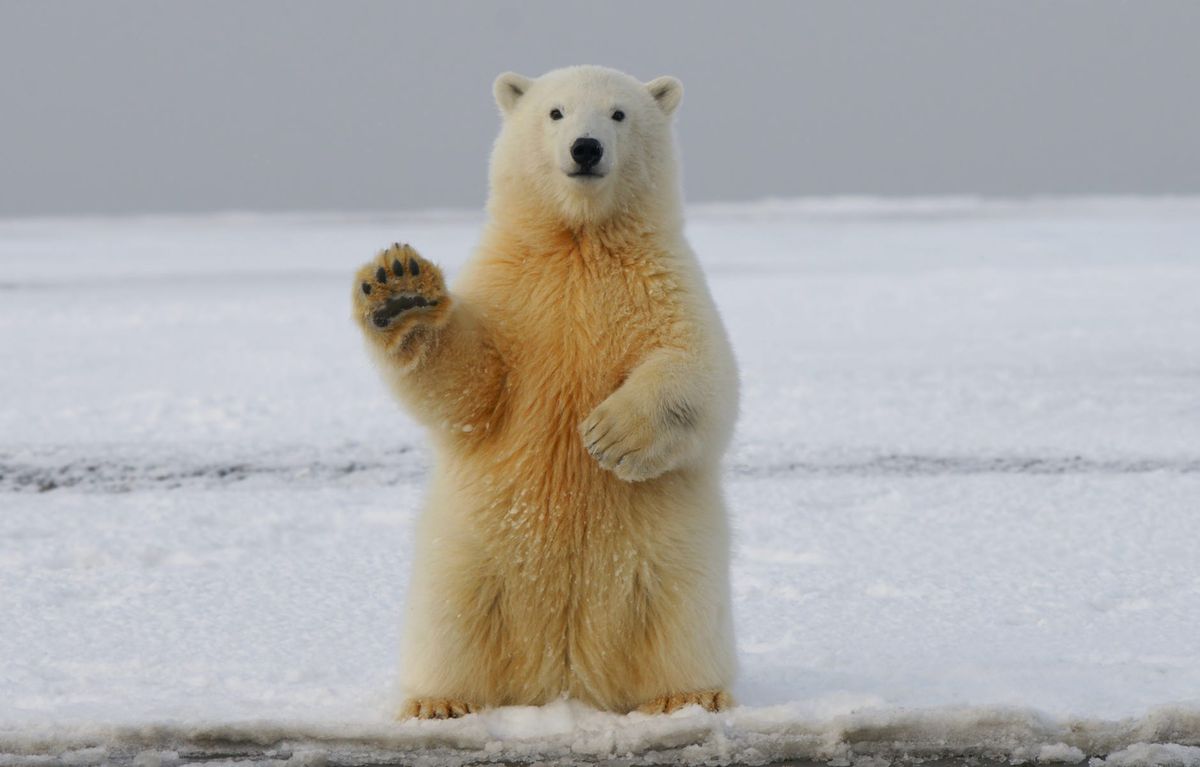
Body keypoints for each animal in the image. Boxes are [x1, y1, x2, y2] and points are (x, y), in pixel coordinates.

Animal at [351, 65, 738, 719]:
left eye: (618, 114)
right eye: (555, 112)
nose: (586, 148)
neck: (578, 241)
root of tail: (564, 678)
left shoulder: (663, 283)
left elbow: (701, 372)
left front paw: (610, 434)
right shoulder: (513, 291)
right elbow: (472, 387)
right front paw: (399, 290)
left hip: (671, 559)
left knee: (680, 618)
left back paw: (689, 695)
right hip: (469, 555)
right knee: (452, 621)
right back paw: (439, 702)